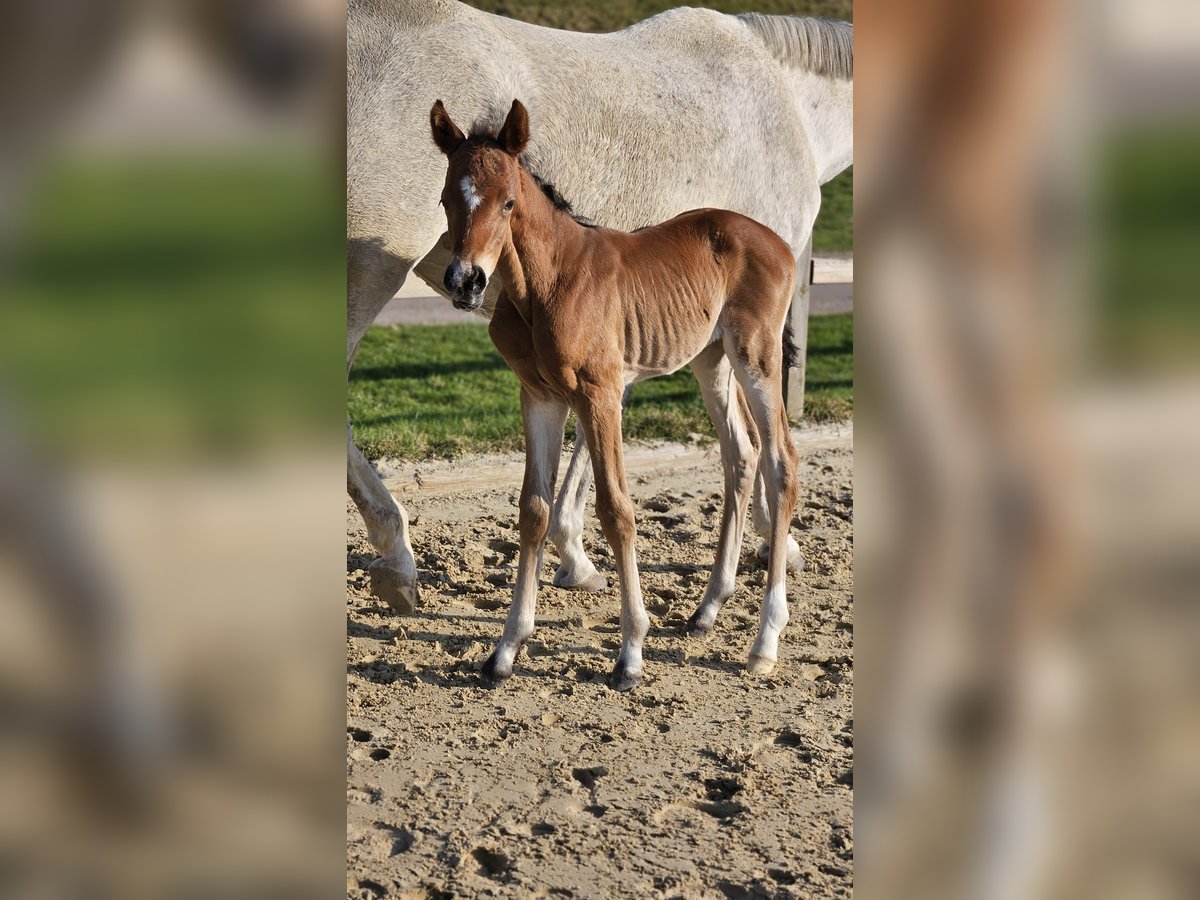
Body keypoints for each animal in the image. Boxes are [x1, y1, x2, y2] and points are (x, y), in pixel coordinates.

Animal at [430, 98, 800, 689]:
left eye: (508, 202)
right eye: (446, 198)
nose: (465, 282)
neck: (546, 283)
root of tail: (780, 242)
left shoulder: (600, 394)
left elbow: (616, 508)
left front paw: (630, 654)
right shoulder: (539, 396)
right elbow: (533, 509)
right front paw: (505, 650)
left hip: (756, 357)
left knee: (781, 459)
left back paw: (765, 640)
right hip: (712, 361)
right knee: (741, 455)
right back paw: (708, 608)